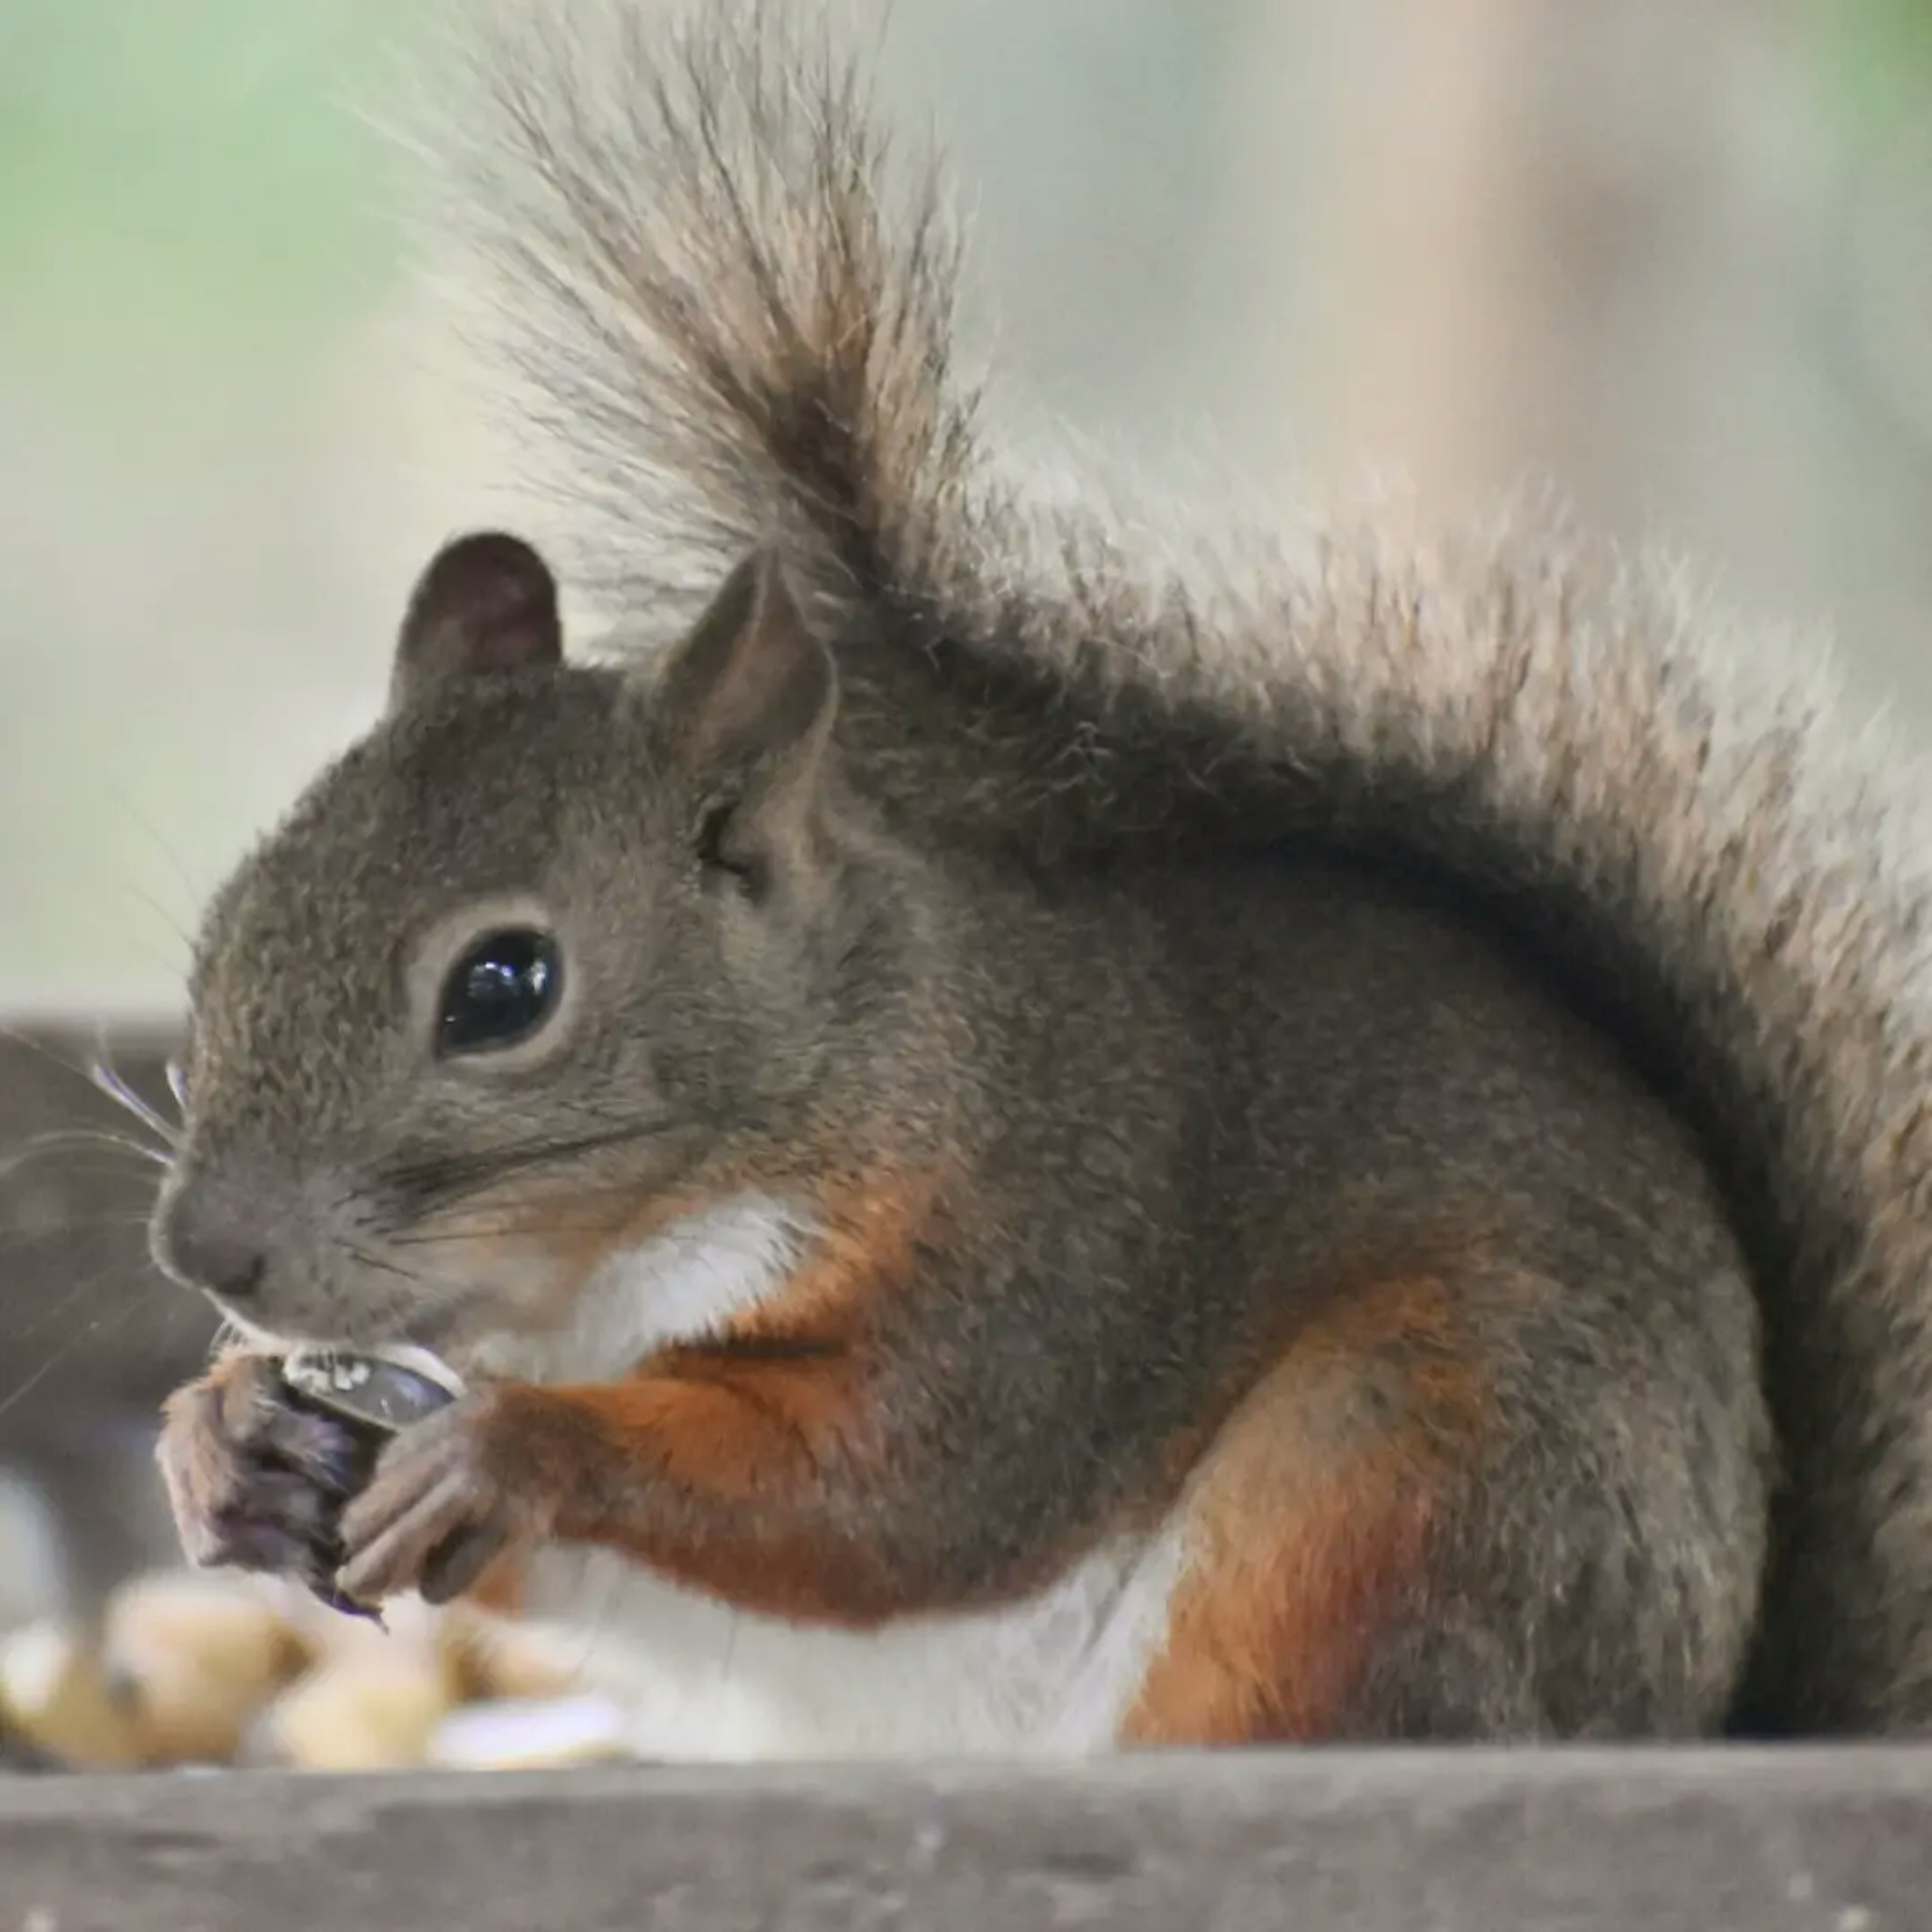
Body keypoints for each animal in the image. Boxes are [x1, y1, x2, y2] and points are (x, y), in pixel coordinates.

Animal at [143, 0, 1932, 1754]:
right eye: (218, 939)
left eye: (502, 988)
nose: (204, 1257)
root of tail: (1700, 1713)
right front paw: (227, 1436)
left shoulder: (1044, 1240)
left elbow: (894, 1487)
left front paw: (511, 1445)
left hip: (1404, 1473)